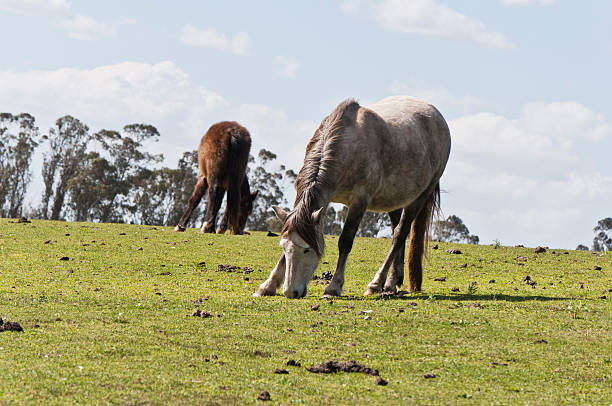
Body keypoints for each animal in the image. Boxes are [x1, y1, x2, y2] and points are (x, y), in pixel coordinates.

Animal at [252, 95, 450, 298]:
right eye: (284, 248)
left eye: (307, 250)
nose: (291, 292)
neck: (345, 145)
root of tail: (438, 117)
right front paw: (267, 285)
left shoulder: (359, 202)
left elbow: (345, 242)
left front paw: (333, 286)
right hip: (395, 199)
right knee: (398, 233)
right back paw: (391, 283)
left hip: (420, 196)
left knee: (399, 235)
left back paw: (376, 283)